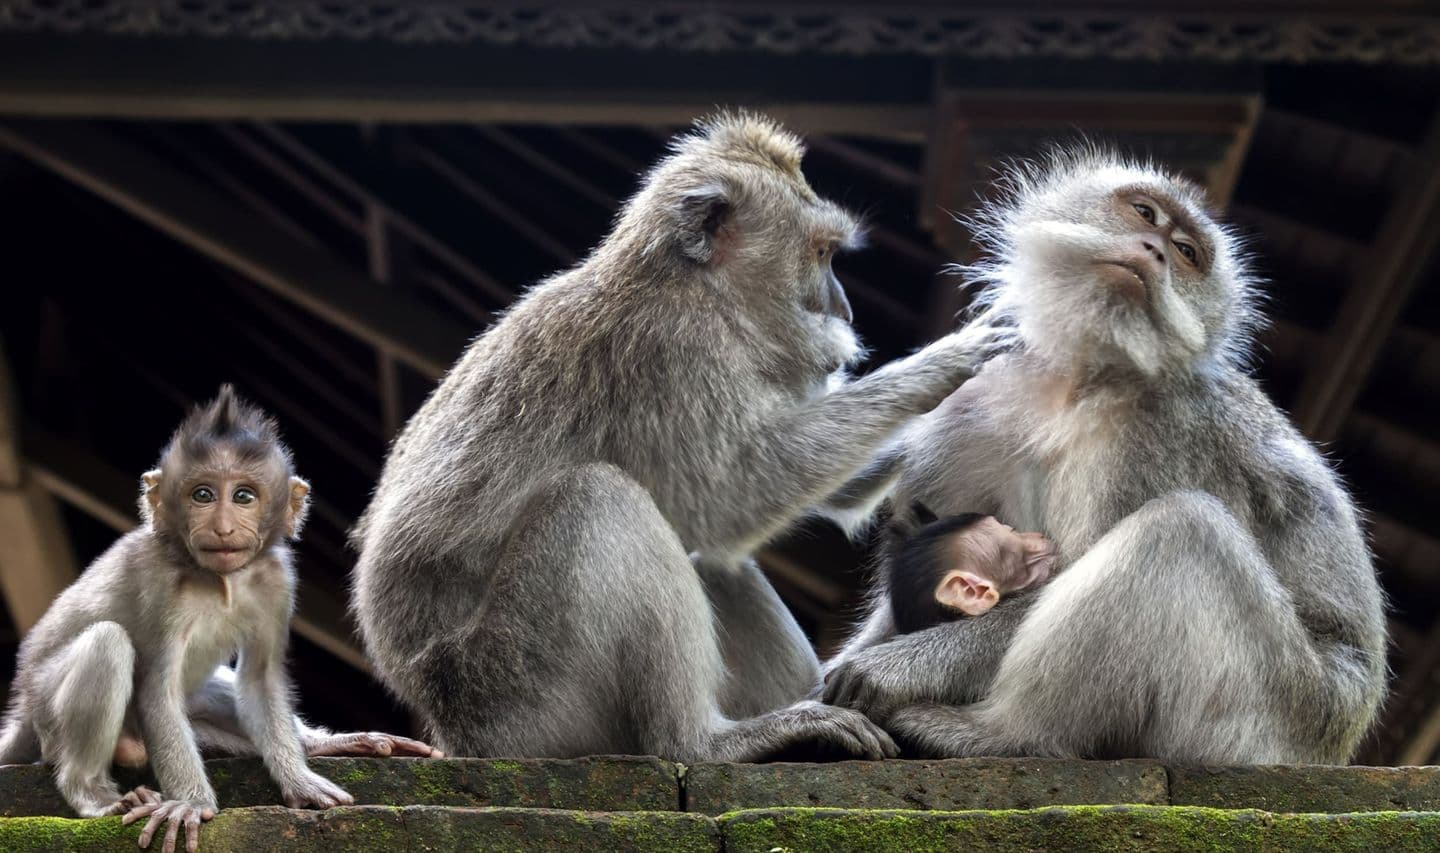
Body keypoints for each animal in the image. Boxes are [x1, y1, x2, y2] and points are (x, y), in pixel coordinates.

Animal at [1, 389, 437, 853]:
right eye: (203, 495)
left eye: (244, 496)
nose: (224, 528)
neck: (220, 579)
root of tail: (23, 709)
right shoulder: (158, 581)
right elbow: (158, 691)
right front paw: (190, 804)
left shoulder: (277, 580)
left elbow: (260, 678)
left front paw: (300, 779)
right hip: (46, 710)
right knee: (107, 642)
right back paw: (91, 792)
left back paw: (321, 744)